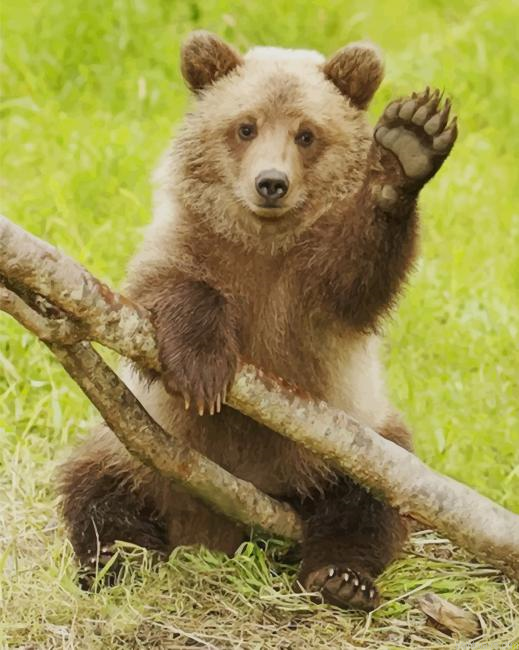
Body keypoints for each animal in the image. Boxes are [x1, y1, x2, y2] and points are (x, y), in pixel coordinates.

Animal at [58, 31, 457, 611]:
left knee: (370, 499)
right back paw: (116, 561)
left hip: (349, 442)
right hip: (137, 449)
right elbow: (161, 300)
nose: (271, 183)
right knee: (96, 488)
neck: (263, 242)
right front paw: (203, 370)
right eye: (244, 126)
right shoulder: (188, 245)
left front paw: (407, 147)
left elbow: (358, 276)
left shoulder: (310, 288)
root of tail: (218, 526)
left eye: (306, 134)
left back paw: (341, 577)